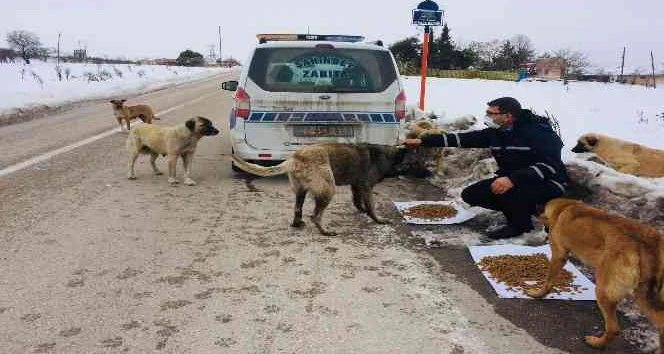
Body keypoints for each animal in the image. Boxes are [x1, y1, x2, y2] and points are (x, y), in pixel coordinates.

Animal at [532, 196, 664, 352]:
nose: (535, 206)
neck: (564, 207)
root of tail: (646, 247)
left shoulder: (558, 255)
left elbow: (548, 279)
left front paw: (538, 293)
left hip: (605, 291)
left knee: (614, 329)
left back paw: (596, 343)